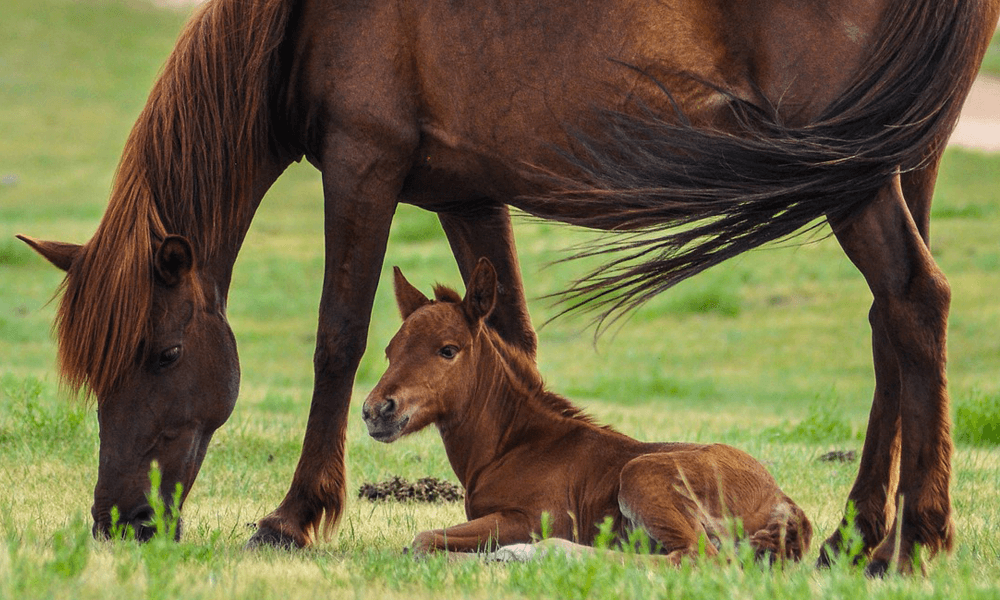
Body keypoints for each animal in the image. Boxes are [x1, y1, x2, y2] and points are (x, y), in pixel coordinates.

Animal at [15, 0, 1000, 576]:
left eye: (166, 353)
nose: (119, 523)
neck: (305, 20)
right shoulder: (467, 192)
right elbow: (512, 335)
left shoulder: (363, 164)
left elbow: (337, 335)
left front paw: (296, 516)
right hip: (894, 163)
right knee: (888, 324)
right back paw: (856, 534)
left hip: (855, 175)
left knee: (916, 302)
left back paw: (917, 538)